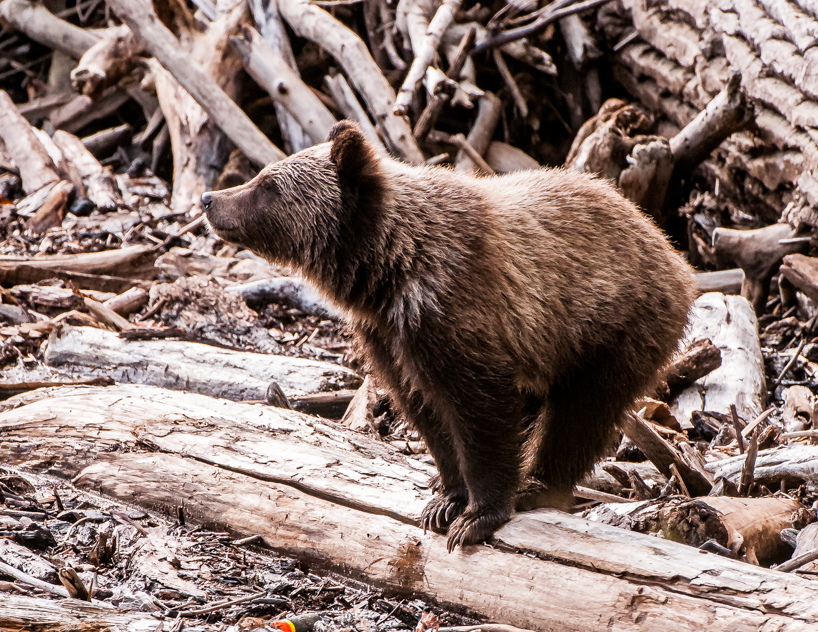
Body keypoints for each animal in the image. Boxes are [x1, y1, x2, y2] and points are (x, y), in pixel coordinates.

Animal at [202, 120, 697, 551]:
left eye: (268, 184)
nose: (209, 198)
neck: (390, 272)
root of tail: (674, 256)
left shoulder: (460, 316)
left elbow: (482, 415)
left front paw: (477, 515)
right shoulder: (391, 338)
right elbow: (428, 412)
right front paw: (446, 500)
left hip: (612, 332)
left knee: (580, 415)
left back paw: (538, 484)